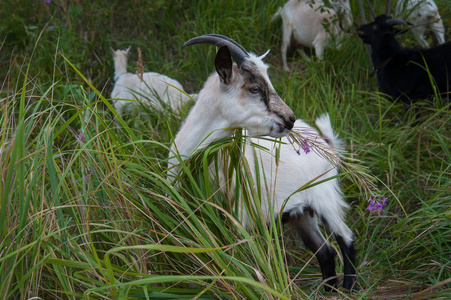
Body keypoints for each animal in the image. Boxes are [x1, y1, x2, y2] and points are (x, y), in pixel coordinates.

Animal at [168, 34, 358, 292]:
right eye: (255, 88)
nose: (289, 119)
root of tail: (327, 144)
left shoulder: (238, 218)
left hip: (325, 197)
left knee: (345, 238)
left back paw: (349, 288)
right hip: (301, 213)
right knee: (325, 252)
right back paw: (329, 291)